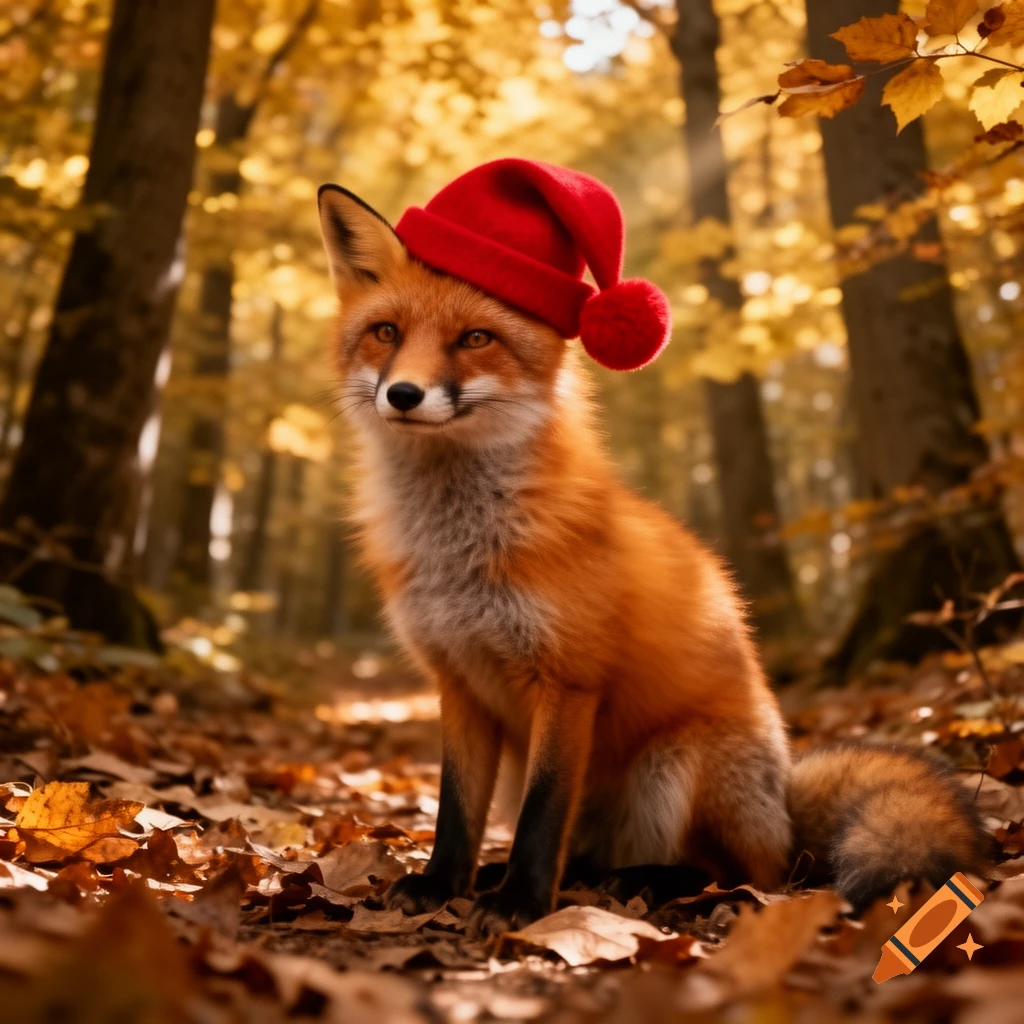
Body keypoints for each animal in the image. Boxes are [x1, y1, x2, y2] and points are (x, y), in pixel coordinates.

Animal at [317, 162, 989, 936]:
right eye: (386, 332)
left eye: (475, 338)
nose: (403, 394)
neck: (461, 549)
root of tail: (787, 809)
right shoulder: (457, 682)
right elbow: (457, 810)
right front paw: (441, 885)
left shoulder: (569, 680)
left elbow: (542, 814)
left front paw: (520, 903)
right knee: (597, 854)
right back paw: (556, 876)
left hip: (677, 763)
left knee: (741, 873)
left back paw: (643, 882)